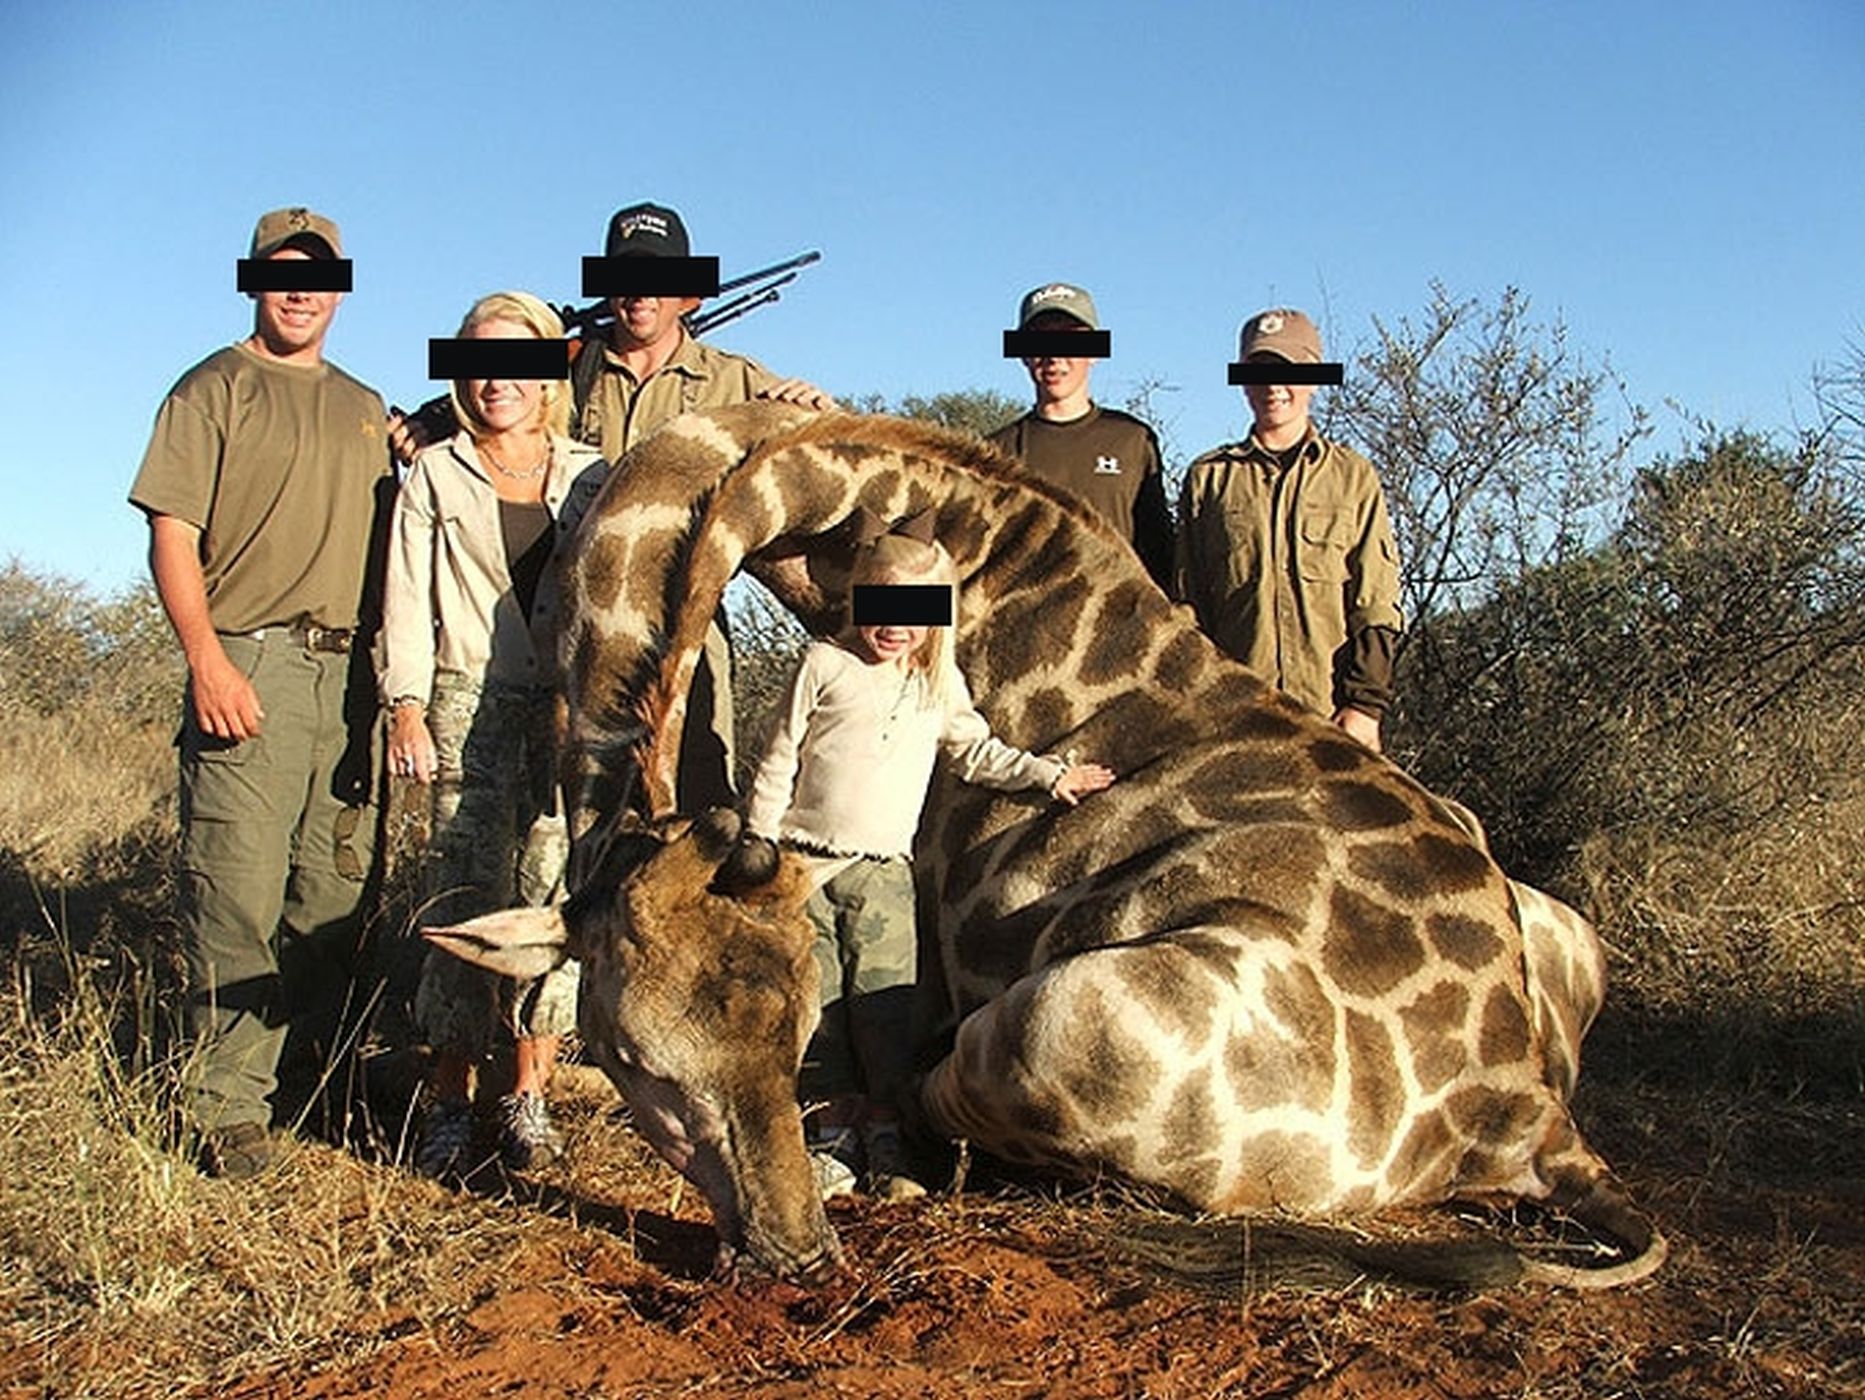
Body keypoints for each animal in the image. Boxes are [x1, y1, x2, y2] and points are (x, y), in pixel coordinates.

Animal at [447, 398, 1663, 1290]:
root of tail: (1532, 1117)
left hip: (1051, 1022)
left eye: (788, 1040)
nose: (790, 1255)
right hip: (1564, 920)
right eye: (644, 1060)